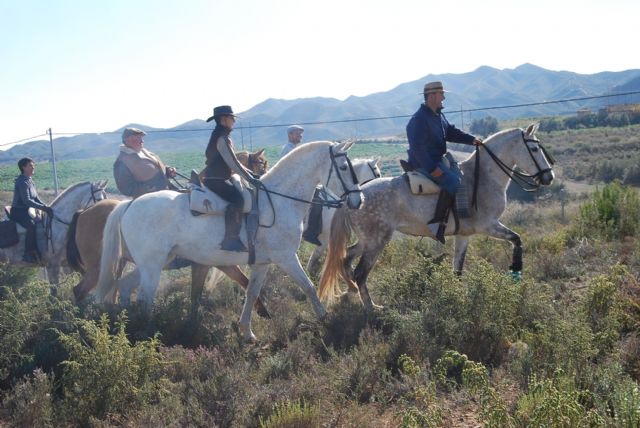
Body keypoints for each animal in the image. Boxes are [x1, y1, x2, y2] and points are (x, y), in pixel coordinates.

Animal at [66, 147, 272, 318]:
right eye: (262, 163)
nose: (262, 185)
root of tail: (83, 212)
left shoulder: (220, 263)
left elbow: (244, 281)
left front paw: (263, 311)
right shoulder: (204, 264)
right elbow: (199, 294)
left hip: (117, 264)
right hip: (97, 267)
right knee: (80, 290)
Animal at [96, 142, 364, 342]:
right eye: (343, 166)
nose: (358, 200)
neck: (278, 201)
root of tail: (129, 204)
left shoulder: (263, 263)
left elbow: (251, 292)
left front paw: (247, 332)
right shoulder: (286, 258)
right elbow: (308, 286)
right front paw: (325, 319)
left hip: (154, 263)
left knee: (124, 286)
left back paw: (129, 326)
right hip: (152, 266)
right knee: (144, 297)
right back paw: (149, 333)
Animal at [320, 123, 556, 310]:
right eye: (534, 148)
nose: (549, 177)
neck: (482, 178)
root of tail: (355, 196)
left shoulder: (464, 235)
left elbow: (457, 269)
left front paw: (456, 297)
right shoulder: (489, 225)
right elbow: (517, 239)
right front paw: (516, 270)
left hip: (367, 240)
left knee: (346, 259)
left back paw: (351, 292)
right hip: (377, 241)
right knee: (360, 273)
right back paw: (371, 309)